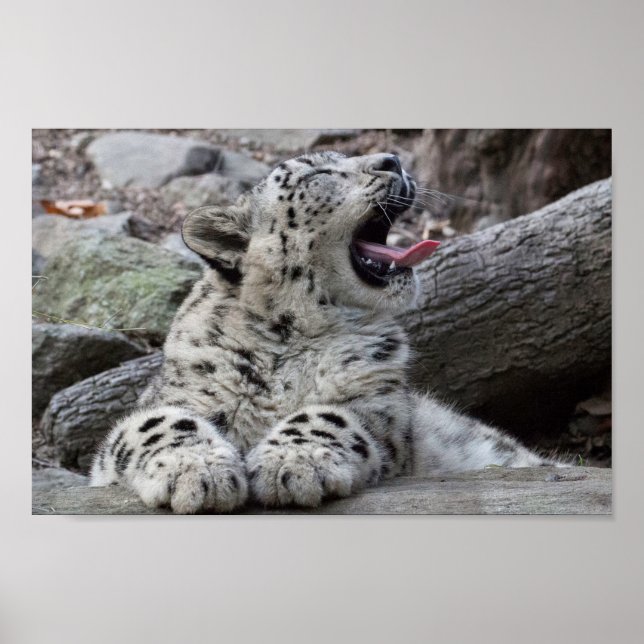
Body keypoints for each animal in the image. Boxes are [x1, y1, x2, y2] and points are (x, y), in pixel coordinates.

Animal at [90, 151, 558, 513]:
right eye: (318, 175)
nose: (394, 160)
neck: (291, 339)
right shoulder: (173, 401)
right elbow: (155, 423)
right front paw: (197, 472)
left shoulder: (381, 408)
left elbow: (329, 416)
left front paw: (293, 463)